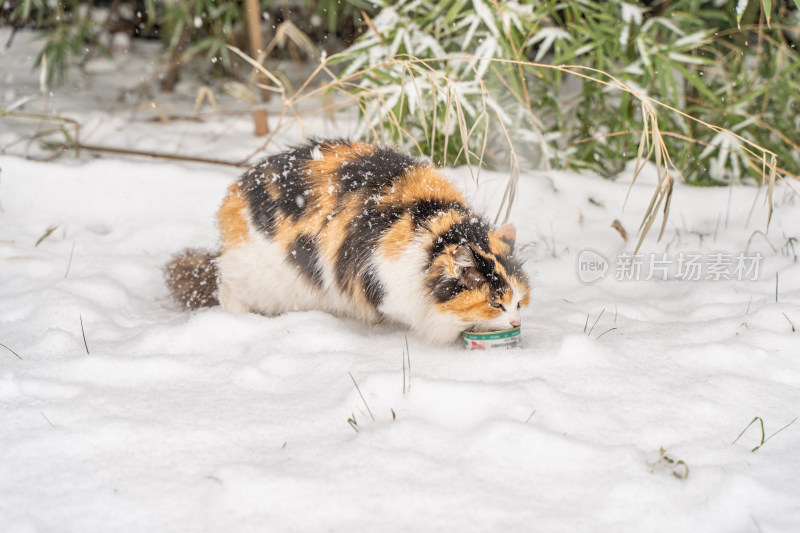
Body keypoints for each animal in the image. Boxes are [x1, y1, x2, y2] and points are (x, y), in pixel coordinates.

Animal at [166, 138, 532, 344]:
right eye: (495, 303)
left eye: (519, 302)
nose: (516, 322)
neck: (435, 228)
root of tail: (232, 199)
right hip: (257, 277)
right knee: (228, 291)